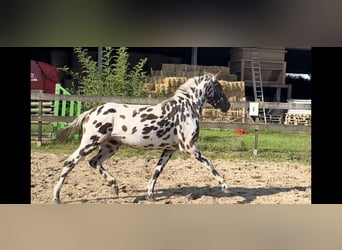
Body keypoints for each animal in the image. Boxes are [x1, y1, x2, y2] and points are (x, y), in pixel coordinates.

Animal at [52, 72, 231, 203]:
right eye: (219, 87)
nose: (227, 106)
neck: (186, 107)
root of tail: (90, 112)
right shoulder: (189, 147)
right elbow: (209, 164)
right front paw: (225, 185)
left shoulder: (169, 149)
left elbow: (157, 171)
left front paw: (150, 195)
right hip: (90, 143)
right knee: (69, 163)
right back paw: (56, 197)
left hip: (111, 146)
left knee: (94, 162)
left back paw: (115, 186)